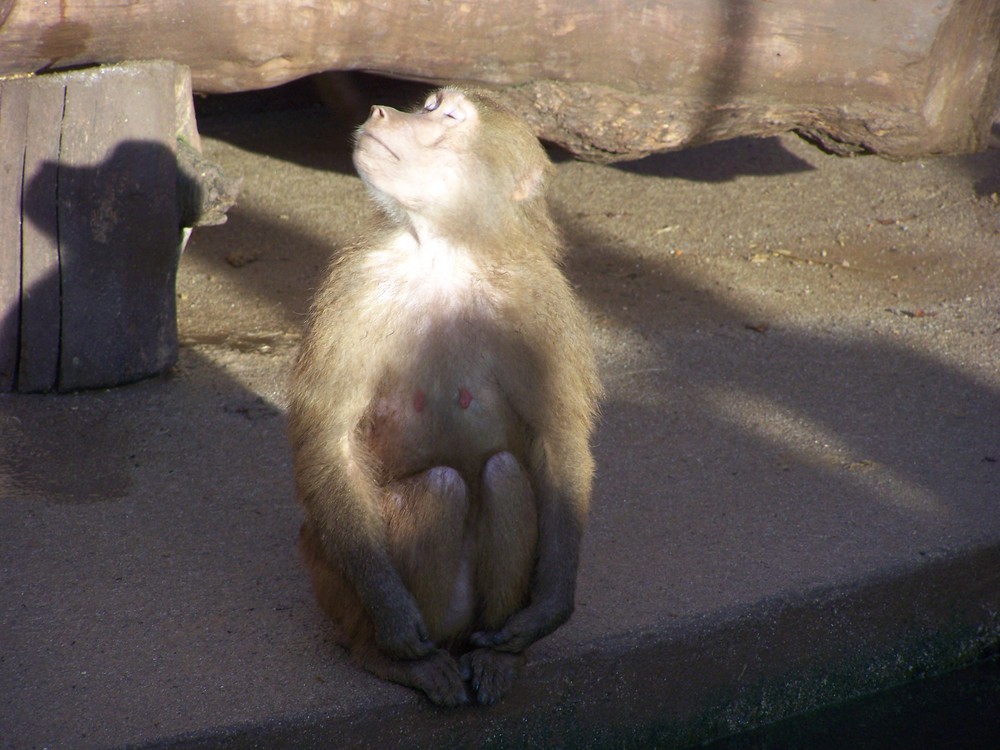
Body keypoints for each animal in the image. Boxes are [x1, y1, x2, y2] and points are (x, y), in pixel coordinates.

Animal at [290, 88, 600, 712]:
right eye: (428, 104)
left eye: (447, 116)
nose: (383, 112)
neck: (448, 250)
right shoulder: (355, 286)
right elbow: (329, 438)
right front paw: (394, 622)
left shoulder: (541, 302)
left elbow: (557, 438)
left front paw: (548, 611)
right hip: (330, 577)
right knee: (442, 487)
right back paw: (398, 659)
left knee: (505, 474)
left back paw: (496, 656)